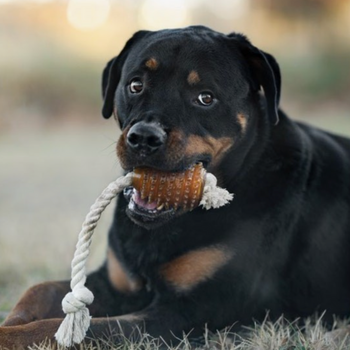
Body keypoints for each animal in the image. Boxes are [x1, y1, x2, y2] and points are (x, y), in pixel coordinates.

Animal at [0, 26, 350, 348]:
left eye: (206, 97)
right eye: (136, 85)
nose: (143, 137)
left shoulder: (188, 314)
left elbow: (65, 330)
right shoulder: (115, 284)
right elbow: (39, 290)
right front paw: (11, 322)